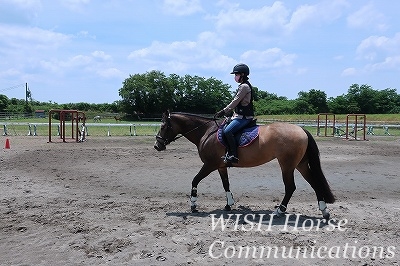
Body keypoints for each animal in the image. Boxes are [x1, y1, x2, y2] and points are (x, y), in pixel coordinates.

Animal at [155, 110, 336, 220]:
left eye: (163, 126)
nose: (157, 146)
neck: (207, 132)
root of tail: (301, 130)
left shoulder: (209, 165)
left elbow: (195, 180)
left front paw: (193, 204)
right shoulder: (221, 166)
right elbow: (226, 184)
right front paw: (229, 204)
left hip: (287, 165)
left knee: (290, 187)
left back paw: (279, 210)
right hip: (300, 164)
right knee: (314, 183)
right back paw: (324, 210)